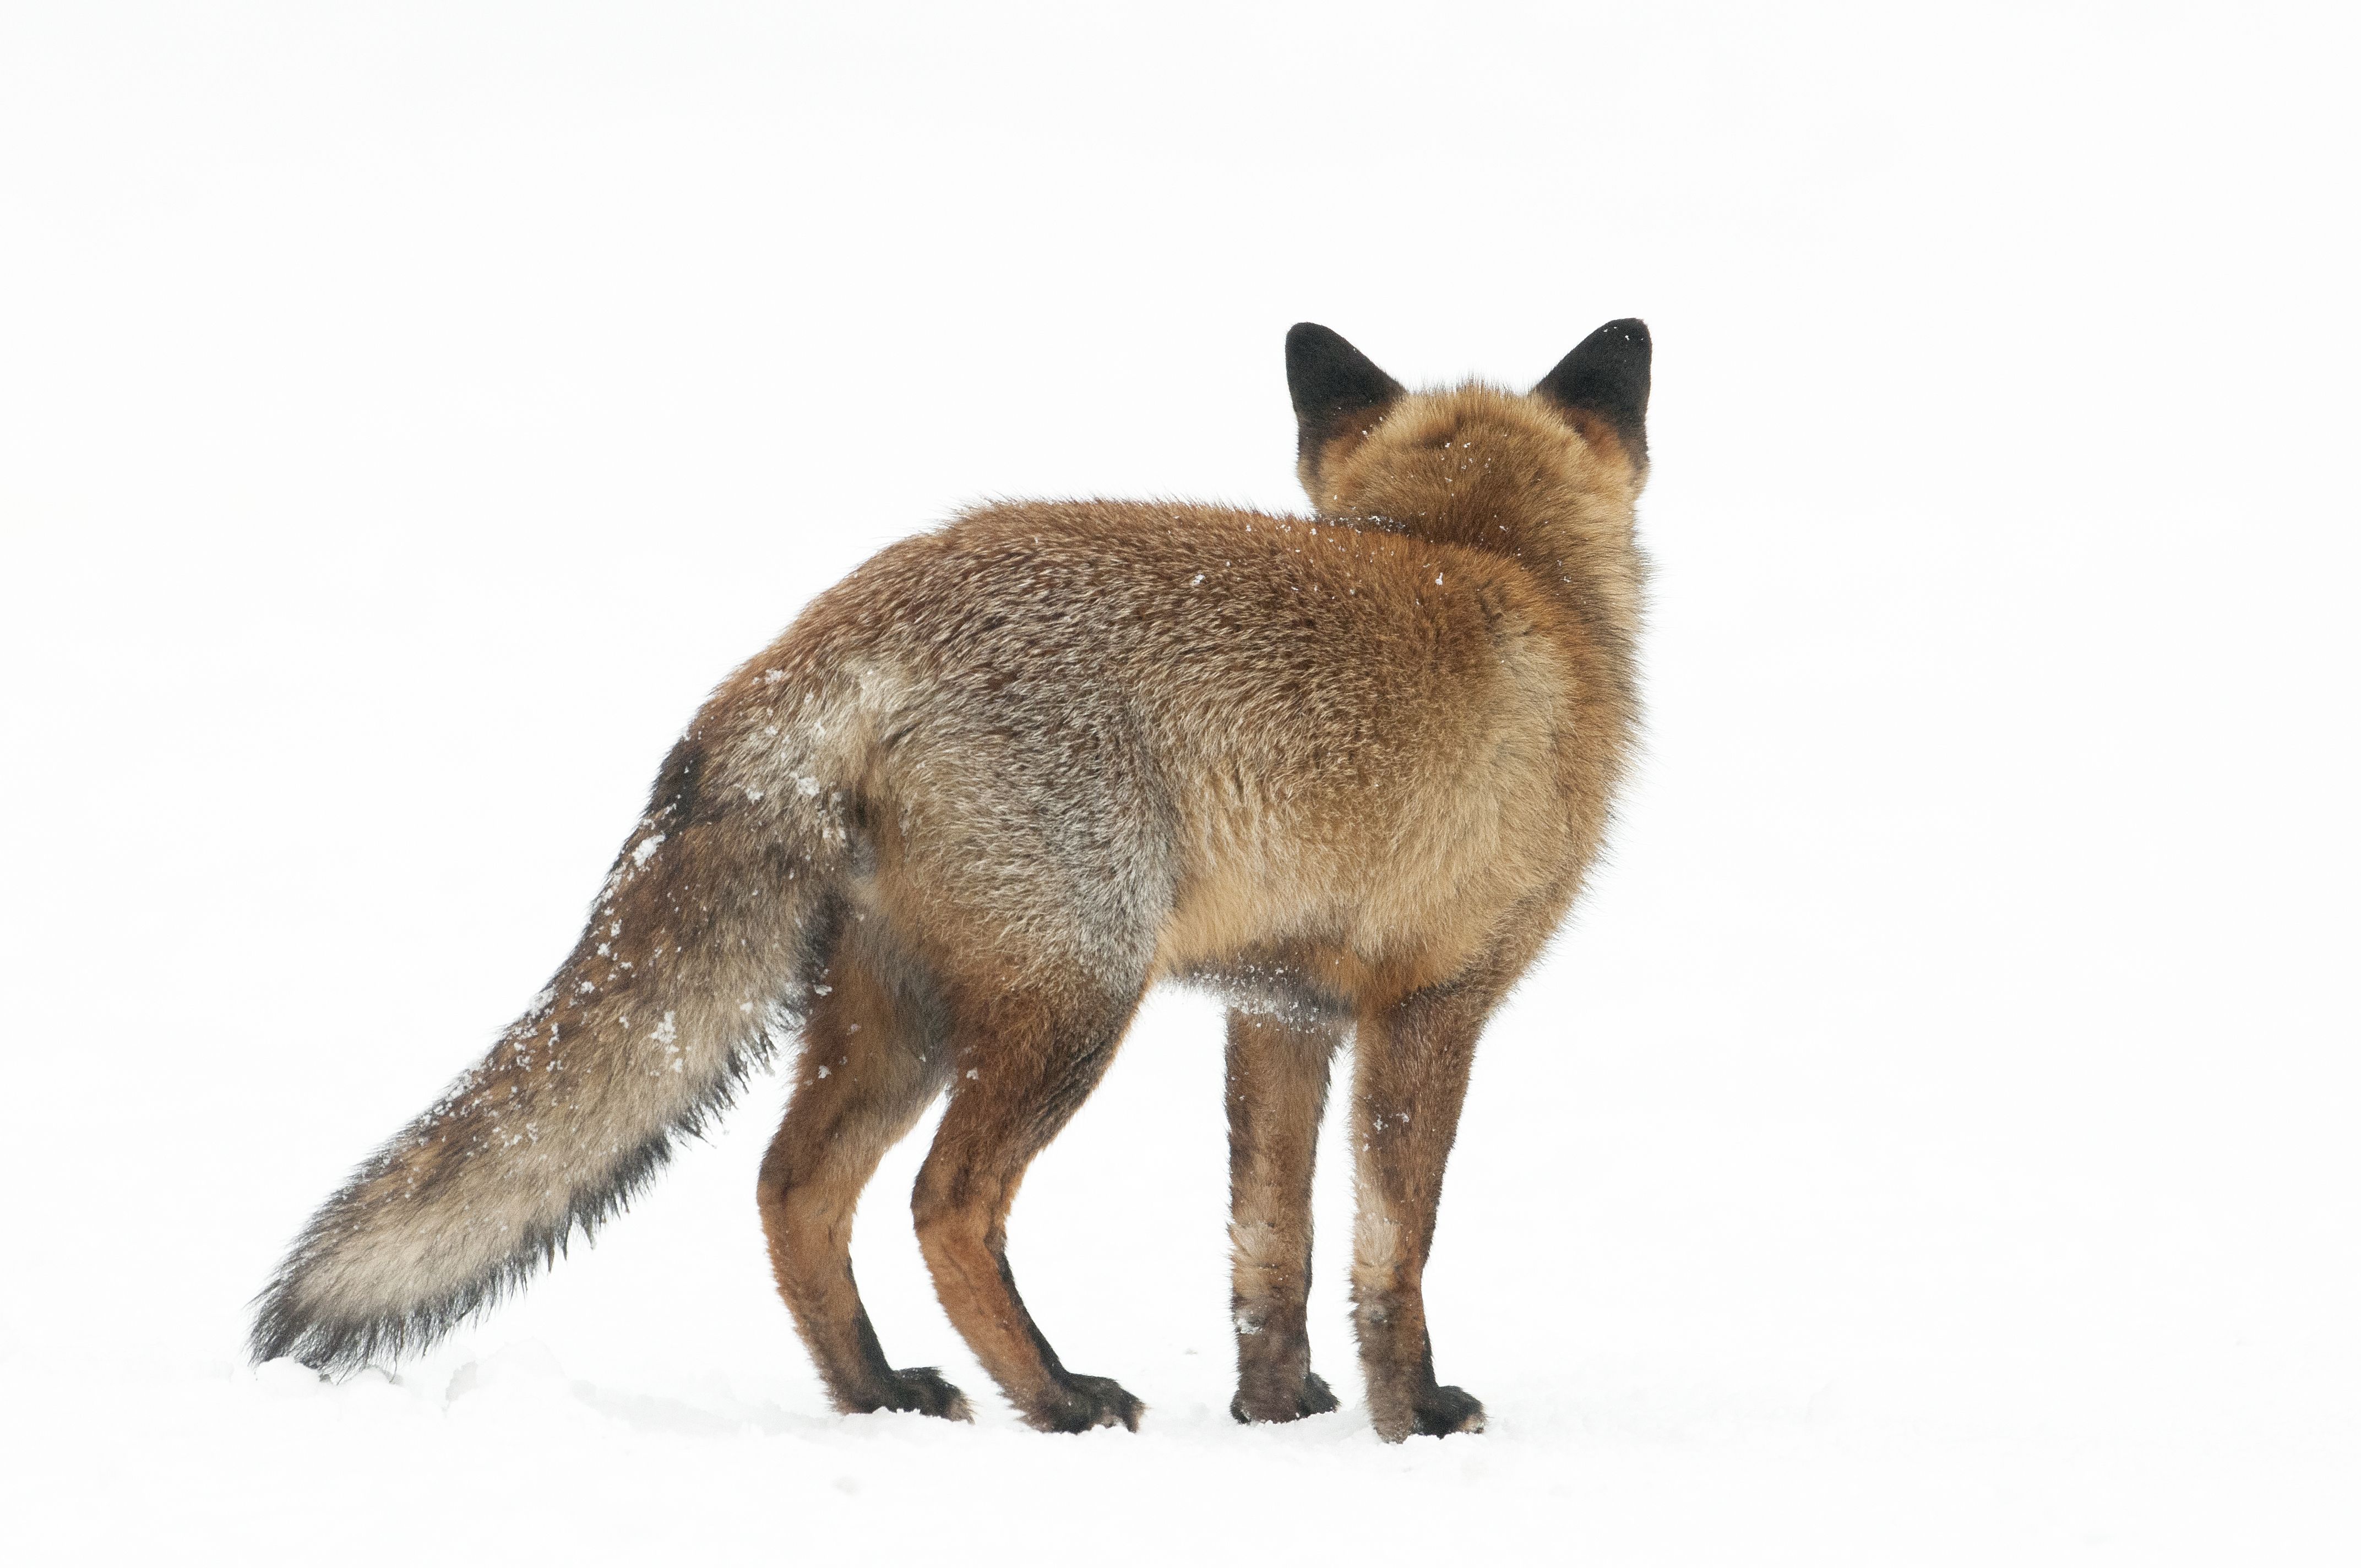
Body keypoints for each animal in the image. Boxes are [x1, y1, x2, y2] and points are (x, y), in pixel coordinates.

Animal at [249, 321, 1652, 1445]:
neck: (1492, 558)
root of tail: (826, 633)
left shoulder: (1277, 1008)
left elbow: (1269, 1246)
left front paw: (1274, 1412)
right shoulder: (1432, 1002)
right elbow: (1388, 1252)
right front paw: (1409, 1416)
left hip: (902, 1011)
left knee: (792, 1186)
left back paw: (878, 1392)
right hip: (1070, 1002)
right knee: (944, 1204)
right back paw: (1057, 1396)